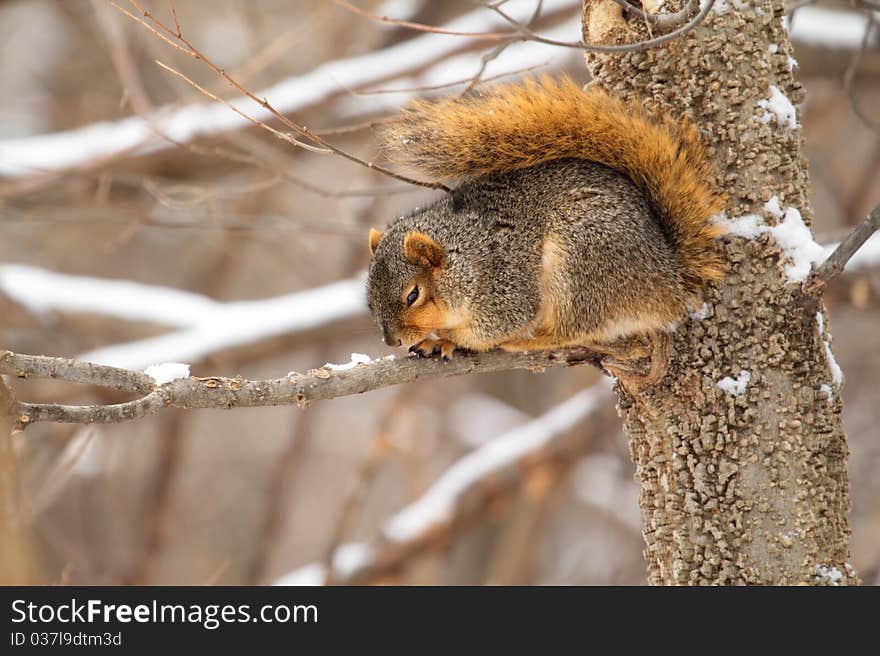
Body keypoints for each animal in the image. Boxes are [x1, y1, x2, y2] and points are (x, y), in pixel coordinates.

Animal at [362, 77, 720, 386]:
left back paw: (526, 341)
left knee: (572, 329)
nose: (391, 340)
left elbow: (495, 327)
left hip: (579, 261)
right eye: (369, 301)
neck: (465, 257)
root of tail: (668, 281)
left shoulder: (506, 286)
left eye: (413, 295)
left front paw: (444, 339)